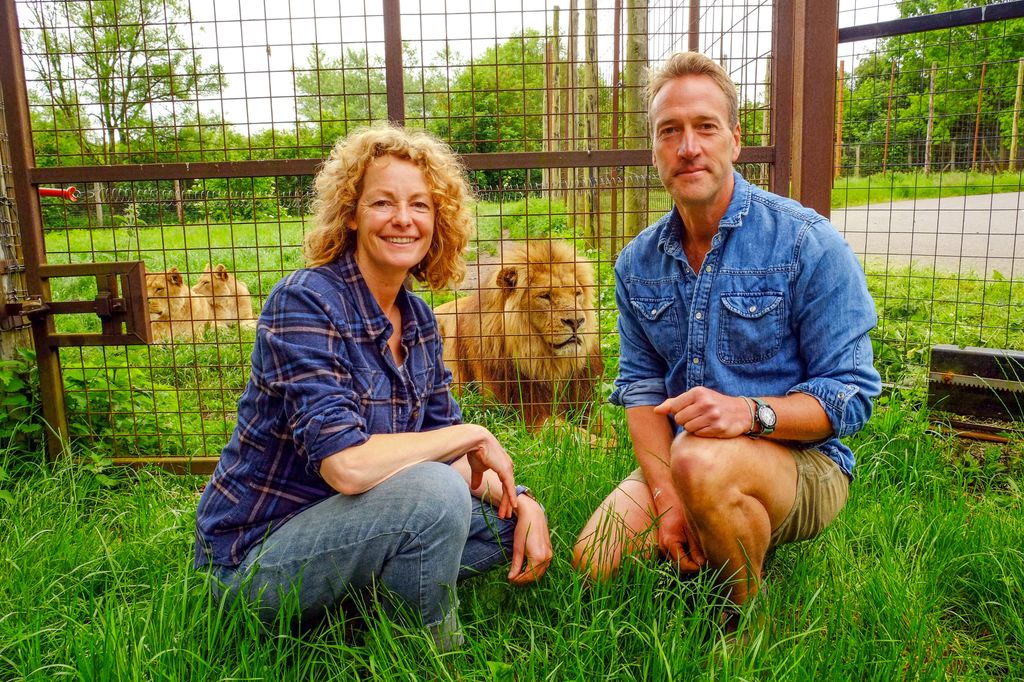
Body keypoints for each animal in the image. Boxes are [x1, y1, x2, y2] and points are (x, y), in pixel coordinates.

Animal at [436, 236, 602, 432]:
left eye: (577, 294)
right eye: (545, 296)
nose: (576, 322)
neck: (550, 365)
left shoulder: (587, 404)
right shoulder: (525, 414)